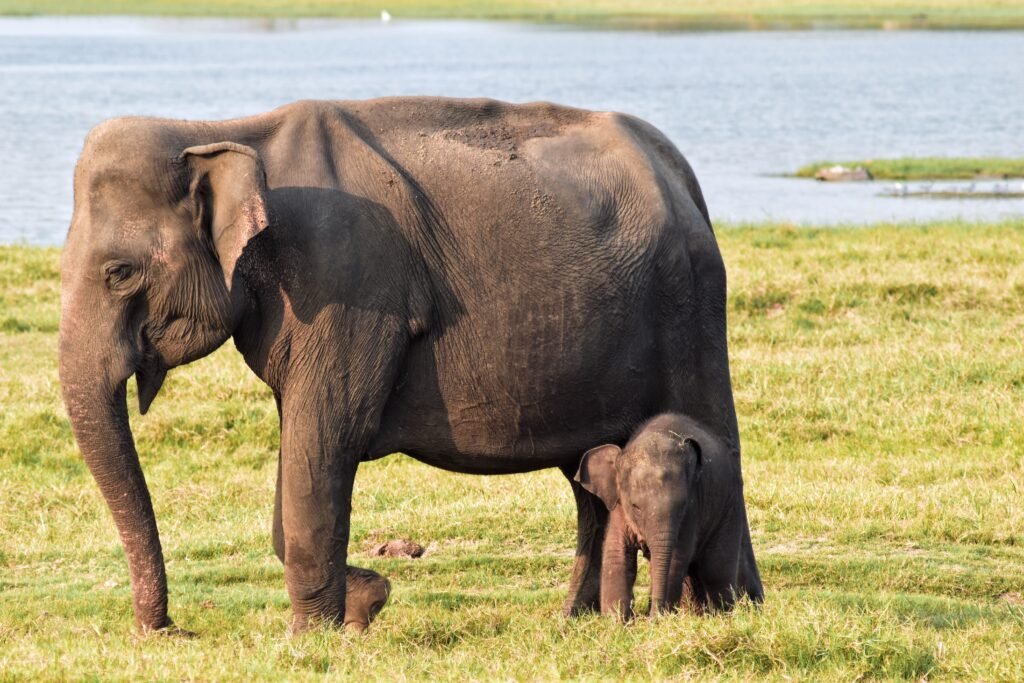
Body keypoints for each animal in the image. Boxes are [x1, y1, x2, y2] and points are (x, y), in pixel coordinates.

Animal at [574, 413, 764, 621]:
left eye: (682, 505)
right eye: (635, 506)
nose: (650, 617)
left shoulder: (692, 511)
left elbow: (675, 559)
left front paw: (658, 619)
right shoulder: (618, 508)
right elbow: (617, 557)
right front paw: (616, 623)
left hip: (730, 506)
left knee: (716, 568)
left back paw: (723, 615)